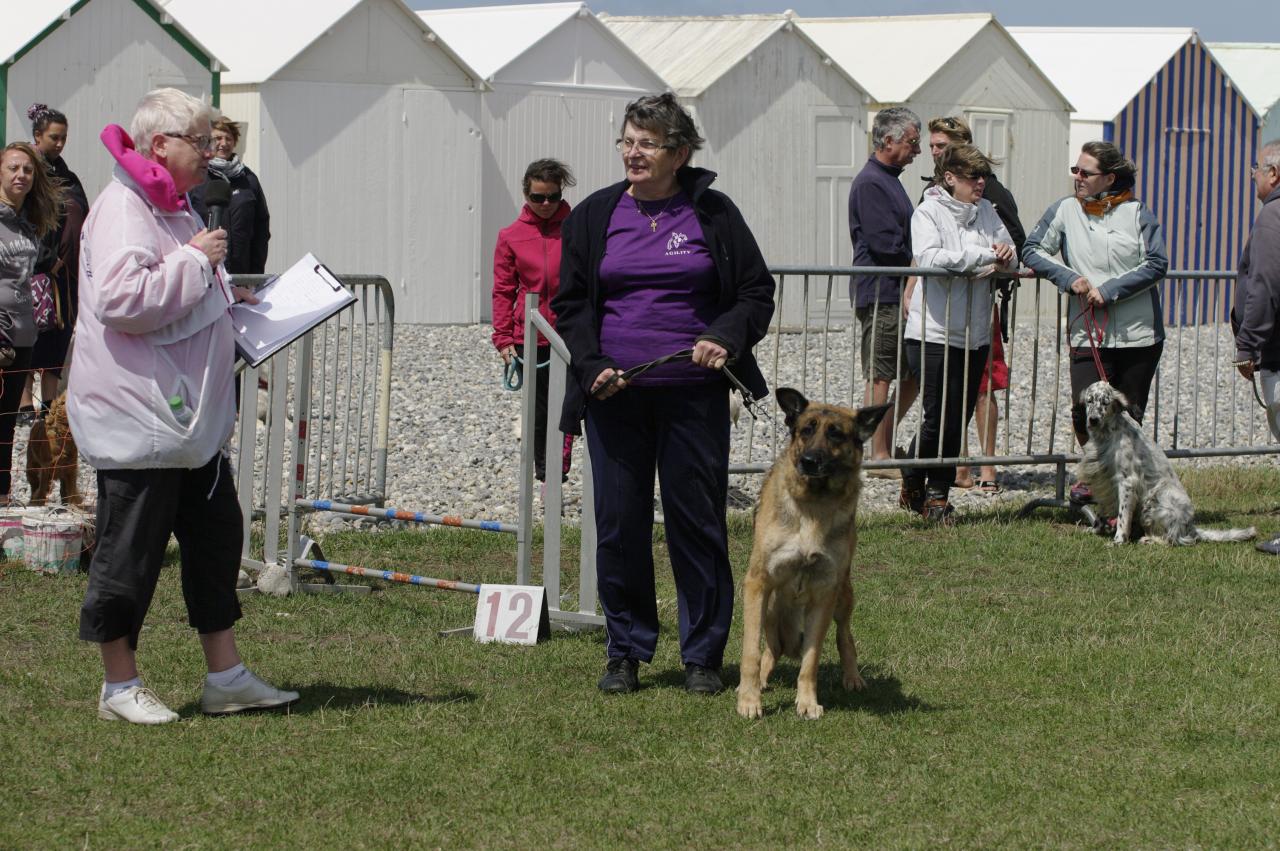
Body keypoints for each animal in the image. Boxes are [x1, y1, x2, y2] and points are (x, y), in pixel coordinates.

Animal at [742, 389, 890, 716]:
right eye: (806, 430)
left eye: (836, 434)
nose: (809, 461)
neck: (813, 504)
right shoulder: (758, 584)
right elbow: (751, 651)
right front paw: (748, 700)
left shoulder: (825, 593)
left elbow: (811, 659)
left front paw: (808, 702)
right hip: (771, 609)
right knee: (772, 648)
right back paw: (762, 680)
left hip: (843, 595)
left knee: (844, 635)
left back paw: (852, 677)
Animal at [1080, 378, 1249, 545]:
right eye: (1089, 401)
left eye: (1105, 402)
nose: (1093, 420)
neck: (1106, 433)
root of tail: (1191, 527)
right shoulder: (1103, 480)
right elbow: (1101, 512)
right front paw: (1095, 529)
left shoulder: (1127, 482)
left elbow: (1123, 516)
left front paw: (1118, 541)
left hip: (1154, 504)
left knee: (1171, 539)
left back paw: (1149, 540)